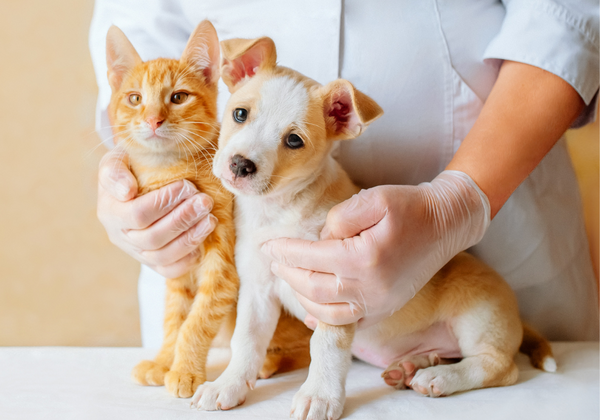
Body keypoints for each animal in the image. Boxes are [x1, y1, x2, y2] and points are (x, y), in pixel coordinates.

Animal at [104, 21, 310, 398]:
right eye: (135, 98)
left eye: (178, 97)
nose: (153, 120)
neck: (171, 169)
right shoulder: (179, 266)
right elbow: (175, 317)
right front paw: (164, 362)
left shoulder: (223, 265)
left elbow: (196, 321)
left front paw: (185, 371)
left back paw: (270, 361)